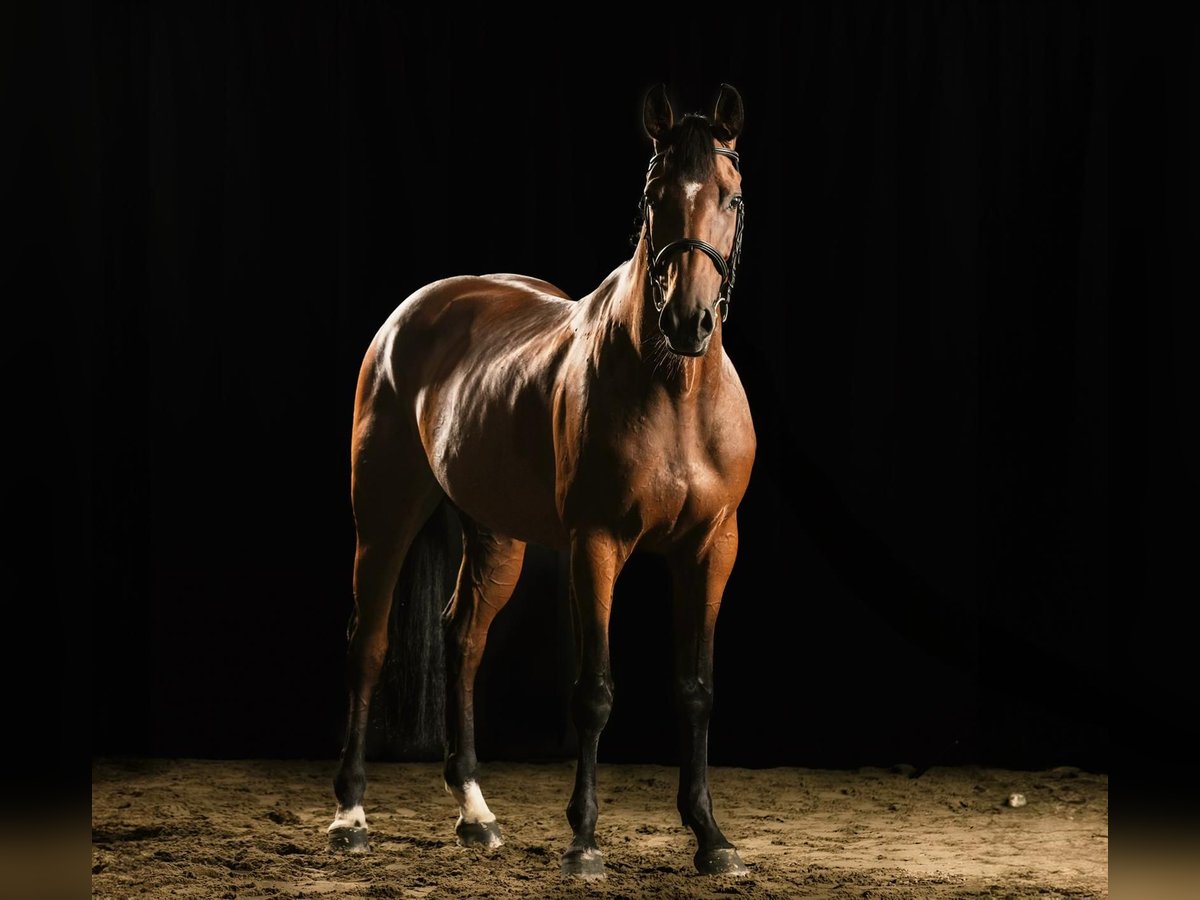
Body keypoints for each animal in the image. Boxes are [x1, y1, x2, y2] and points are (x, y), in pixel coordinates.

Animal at [328, 86, 753, 883]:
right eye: (653, 195)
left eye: (731, 197)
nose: (688, 321)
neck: (672, 389)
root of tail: (412, 314)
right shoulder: (598, 545)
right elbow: (594, 693)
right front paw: (583, 842)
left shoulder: (712, 549)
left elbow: (699, 690)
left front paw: (712, 839)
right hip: (386, 511)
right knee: (368, 639)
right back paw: (351, 815)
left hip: (496, 533)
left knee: (463, 638)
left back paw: (476, 814)